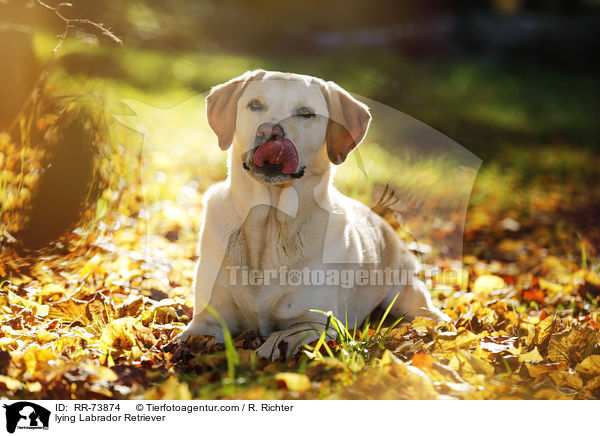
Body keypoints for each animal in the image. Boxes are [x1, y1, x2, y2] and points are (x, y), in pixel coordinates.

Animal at [176, 70, 448, 358]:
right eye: (255, 104)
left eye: (305, 113)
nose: (269, 131)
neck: (270, 222)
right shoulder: (209, 317)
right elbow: (185, 337)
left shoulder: (318, 322)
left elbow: (278, 339)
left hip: (405, 293)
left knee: (427, 312)